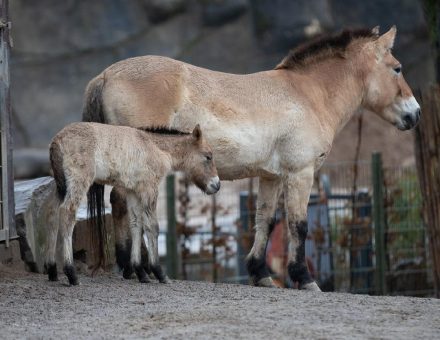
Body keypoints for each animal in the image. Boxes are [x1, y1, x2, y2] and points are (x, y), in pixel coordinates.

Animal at [46, 122, 220, 284]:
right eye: (208, 156)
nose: (216, 185)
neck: (154, 147)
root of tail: (56, 140)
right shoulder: (149, 189)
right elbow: (152, 227)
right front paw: (159, 273)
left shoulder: (133, 191)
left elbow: (136, 225)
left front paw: (140, 272)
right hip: (79, 180)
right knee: (67, 212)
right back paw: (71, 274)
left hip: (60, 185)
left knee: (52, 215)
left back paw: (52, 270)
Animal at [83, 27, 420, 292]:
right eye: (397, 68)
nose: (414, 114)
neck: (307, 95)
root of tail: (105, 75)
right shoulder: (301, 173)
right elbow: (298, 225)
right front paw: (304, 279)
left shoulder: (272, 177)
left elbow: (265, 221)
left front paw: (260, 273)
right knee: (124, 205)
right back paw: (134, 268)